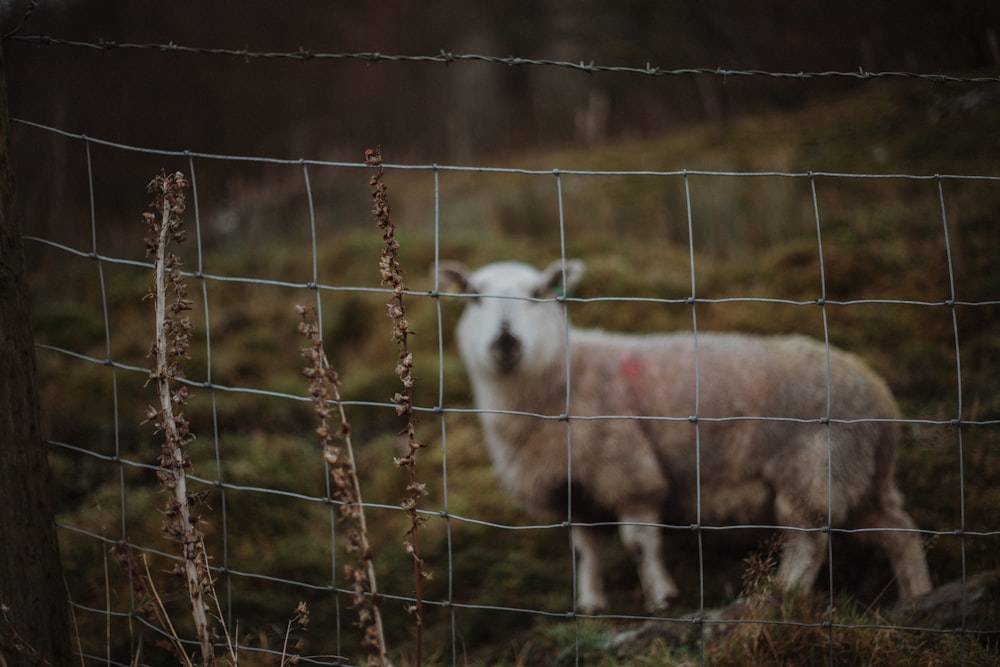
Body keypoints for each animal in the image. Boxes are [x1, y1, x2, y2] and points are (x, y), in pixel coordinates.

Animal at [442, 258, 932, 612]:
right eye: (473, 296)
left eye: (539, 295)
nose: (506, 343)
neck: (563, 376)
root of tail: (879, 396)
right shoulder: (576, 487)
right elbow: (586, 551)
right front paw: (591, 606)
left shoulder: (627, 470)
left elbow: (639, 544)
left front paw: (662, 598)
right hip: (861, 475)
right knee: (901, 531)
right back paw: (918, 596)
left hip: (814, 464)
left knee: (809, 540)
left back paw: (782, 595)